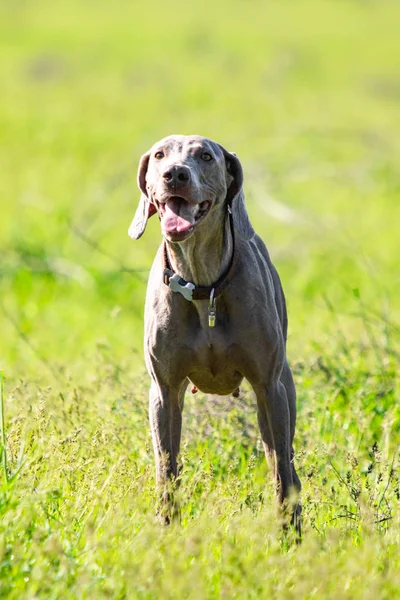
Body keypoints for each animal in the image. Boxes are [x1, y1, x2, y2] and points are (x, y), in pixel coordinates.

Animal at [130, 135, 302, 528]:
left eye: (206, 156)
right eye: (160, 154)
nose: (175, 174)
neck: (202, 282)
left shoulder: (269, 387)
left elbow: (281, 474)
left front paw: (287, 534)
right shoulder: (163, 392)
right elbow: (167, 468)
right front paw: (167, 527)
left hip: (280, 390)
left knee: (283, 460)